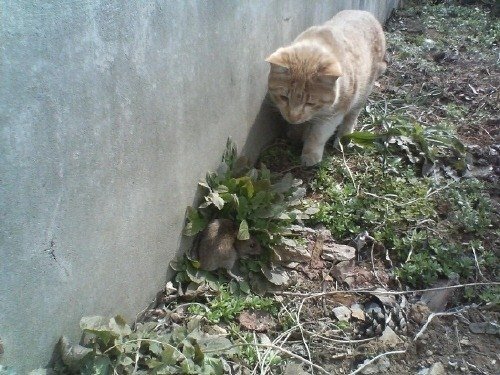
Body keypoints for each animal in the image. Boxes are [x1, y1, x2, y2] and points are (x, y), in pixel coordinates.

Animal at [266, 9, 386, 166]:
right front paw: (296, 133)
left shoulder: (333, 115)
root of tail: (367, 13)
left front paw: (310, 154)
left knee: (352, 116)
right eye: (284, 97)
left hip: (363, 91)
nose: (293, 116)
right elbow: (300, 127)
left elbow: (318, 135)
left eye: (310, 102)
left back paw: (344, 138)